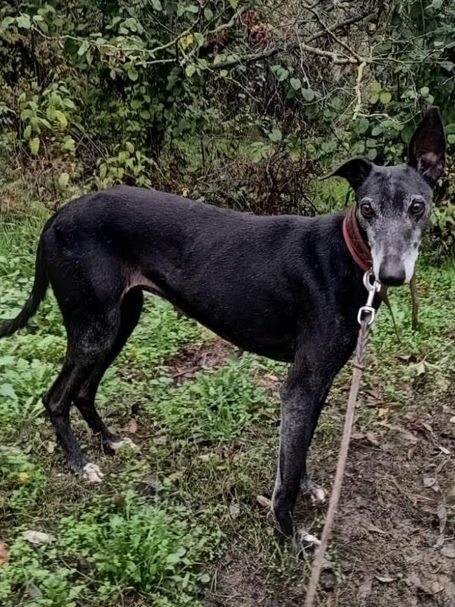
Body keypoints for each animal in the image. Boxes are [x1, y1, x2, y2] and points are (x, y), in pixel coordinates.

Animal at [0, 108, 445, 537]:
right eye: (366, 207)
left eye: (417, 207)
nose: (391, 274)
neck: (348, 254)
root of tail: (57, 216)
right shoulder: (301, 385)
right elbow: (286, 472)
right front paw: (291, 536)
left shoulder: (318, 382)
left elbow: (298, 450)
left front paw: (306, 491)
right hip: (95, 328)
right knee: (55, 398)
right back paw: (80, 464)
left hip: (119, 321)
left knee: (83, 391)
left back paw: (110, 442)